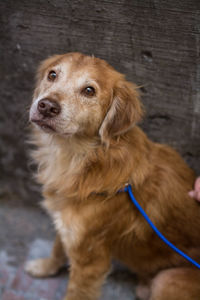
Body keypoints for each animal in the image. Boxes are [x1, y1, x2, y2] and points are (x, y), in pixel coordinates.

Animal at [25, 52, 200, 300]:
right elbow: (58, 247)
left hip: (167, 280)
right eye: (52, 75)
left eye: (89, 91)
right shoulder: (66, 223)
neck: (80, 158)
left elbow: (76, 291)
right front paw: (45, 266)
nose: (46, 106)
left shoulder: (90, 259)